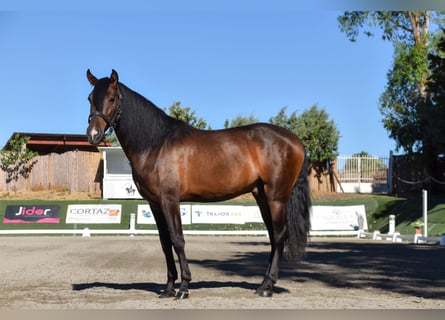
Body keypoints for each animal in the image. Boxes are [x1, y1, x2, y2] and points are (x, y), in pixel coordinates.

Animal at [85, 69, 310, 298]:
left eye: (112, 98)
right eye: (90, 99)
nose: (93, 135)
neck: (157, 144)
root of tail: (295, 141)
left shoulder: (170, 200)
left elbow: (177, 239)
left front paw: (184, 287)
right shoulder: (154, 203)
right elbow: (165, 243)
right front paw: (168, 288)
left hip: (277, 197)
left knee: (280, 235)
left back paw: (268, 287)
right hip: (262, 196)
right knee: (273, 236)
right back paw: (263, 284)